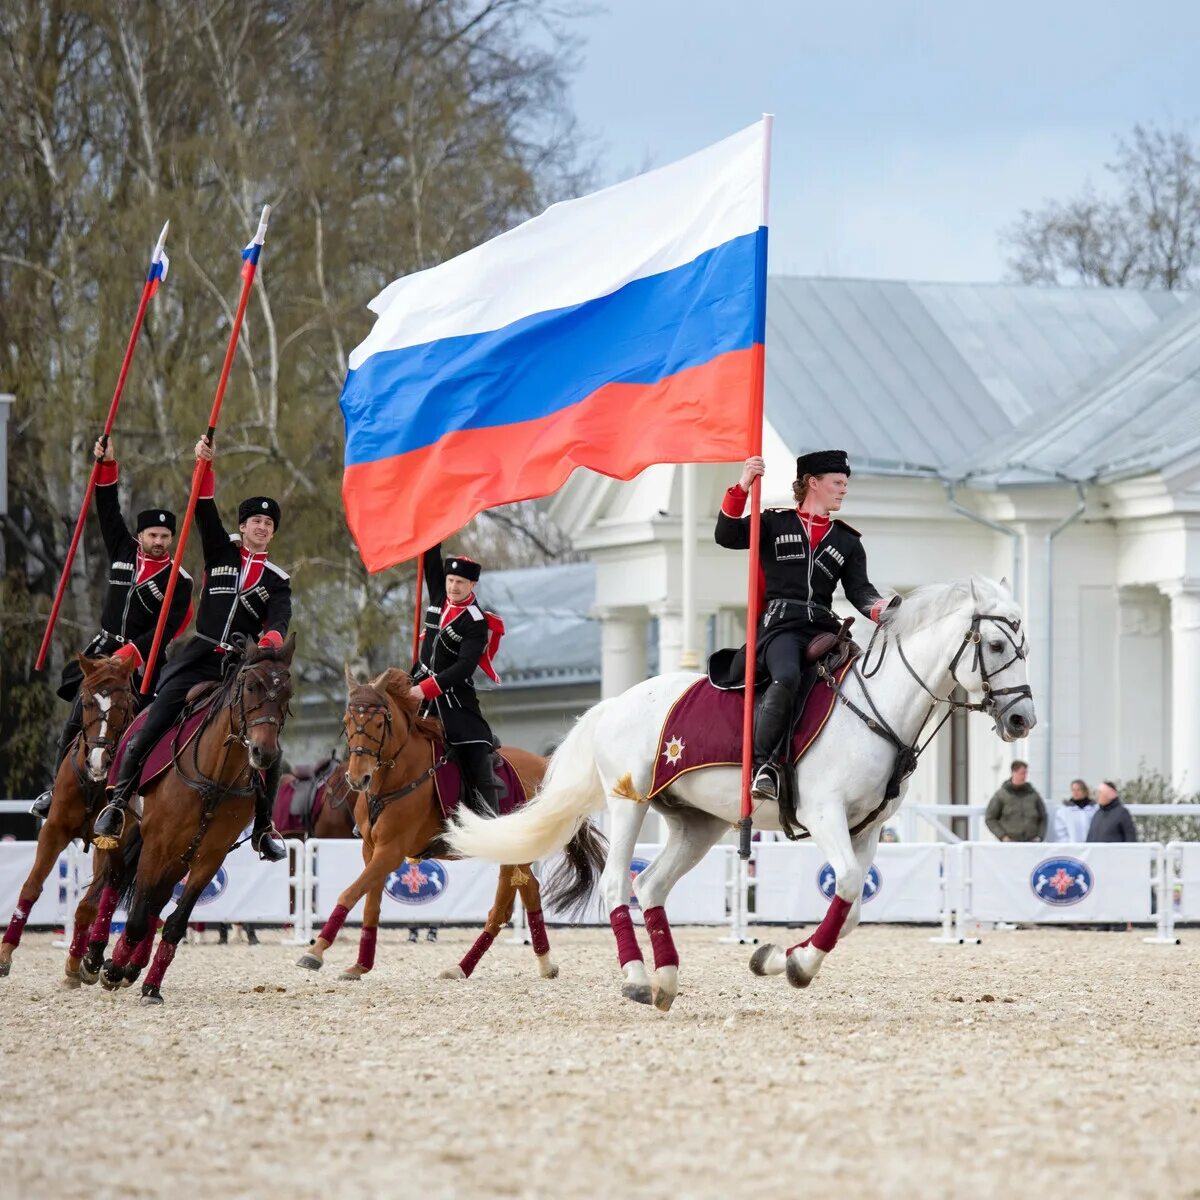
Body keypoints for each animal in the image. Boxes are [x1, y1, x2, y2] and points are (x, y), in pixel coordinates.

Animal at [0, 657, 140, 984]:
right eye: (86, 702)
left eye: (124, 703)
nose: (99, 761)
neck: (92, 784)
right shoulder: (54, 831)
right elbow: (31, 887)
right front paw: (5, 953)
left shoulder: (109, 843)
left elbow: (88, 905)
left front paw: (79, 963)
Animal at [96, 638, 297, 1003]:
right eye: (250, 686)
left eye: (287, 692)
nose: (264, 753)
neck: (215, 777)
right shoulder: (156, 844)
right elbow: (136, 917)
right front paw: (113, 968)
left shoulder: (208, 856)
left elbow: (175, 921)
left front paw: (150, 985)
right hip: (127, 835)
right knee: (116, 882)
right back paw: (93, 957)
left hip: (180, 855)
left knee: (156, 900)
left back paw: (133, 965)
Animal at [295, 667, 604, 984]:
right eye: (347, 722)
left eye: (379, 723)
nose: (358, 778)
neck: (395, 780)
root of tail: (546, 766)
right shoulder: (371, 850)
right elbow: (370, 905)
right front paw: (359, 965)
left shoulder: (391, 851)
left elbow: (350, 892)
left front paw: (315, 951)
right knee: (528, 894)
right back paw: (537, 964)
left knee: (501, 910)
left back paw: (465, 966)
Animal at [453, 576, 1036, 1008]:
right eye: (996, 645)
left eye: (1024, 646)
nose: (1022, 719)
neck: (878, 709)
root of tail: (615, 702)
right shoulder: (824, 815)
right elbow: (848, 886)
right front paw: (798, 964)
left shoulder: (866, 829)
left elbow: (851, 909)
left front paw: (776, 957)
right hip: (628, 804)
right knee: (620, 884)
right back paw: (637, 978)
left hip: (697, 823)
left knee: (651, 886)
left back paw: (666, 979)